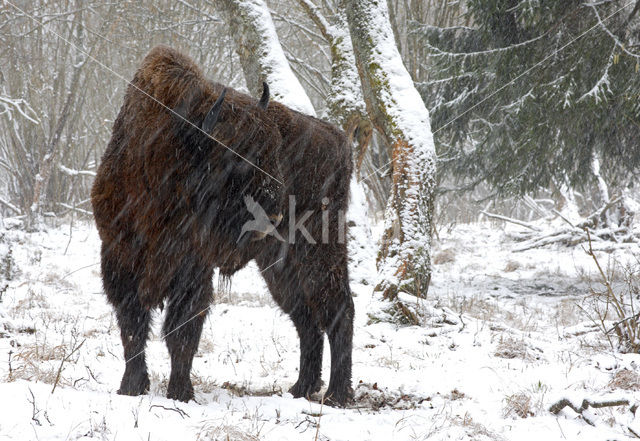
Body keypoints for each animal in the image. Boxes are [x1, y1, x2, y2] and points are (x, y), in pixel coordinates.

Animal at [90, 45, 352, 406]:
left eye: (273, 151)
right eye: (237, 157)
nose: (273, 216)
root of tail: (339, 139)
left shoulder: (192, 270)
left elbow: (182, 330)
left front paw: (180, 393)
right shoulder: (119, 258)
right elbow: (132, 326)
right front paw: (131, 387)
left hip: (320, 252)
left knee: (339, 310)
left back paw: (337, 394)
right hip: (278, 265)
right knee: (306, 319)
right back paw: (301, 388)